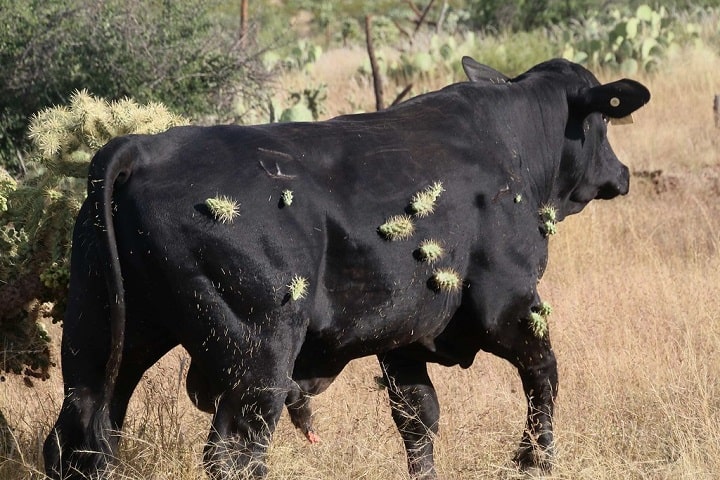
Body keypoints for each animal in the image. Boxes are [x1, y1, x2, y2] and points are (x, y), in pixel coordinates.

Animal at [46, 57, 652, 480]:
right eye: (604, 121)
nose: (622, 173)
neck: (513, 146)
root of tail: (143, 149)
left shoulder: (403, 337)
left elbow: (418, 419)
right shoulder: (511, 305)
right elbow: (543, 379)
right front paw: (534, 459)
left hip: (100, 339)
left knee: (79, 439)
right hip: (257, 355)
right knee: (234, 451)